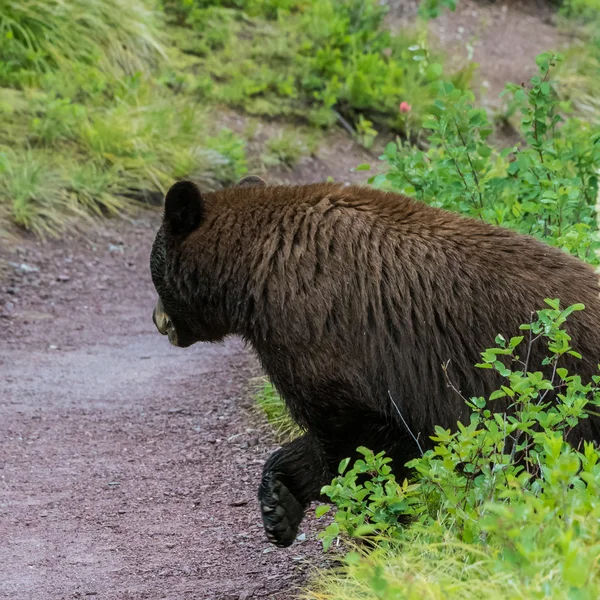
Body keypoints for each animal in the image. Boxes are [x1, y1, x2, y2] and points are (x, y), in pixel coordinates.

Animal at [149, 176, 600, 548]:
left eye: (155, 273)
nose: (157, 320)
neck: (258, 265)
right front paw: (279, 501)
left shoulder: (319, 334)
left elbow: (359, 439)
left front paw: (370, 528)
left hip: (564, 397)